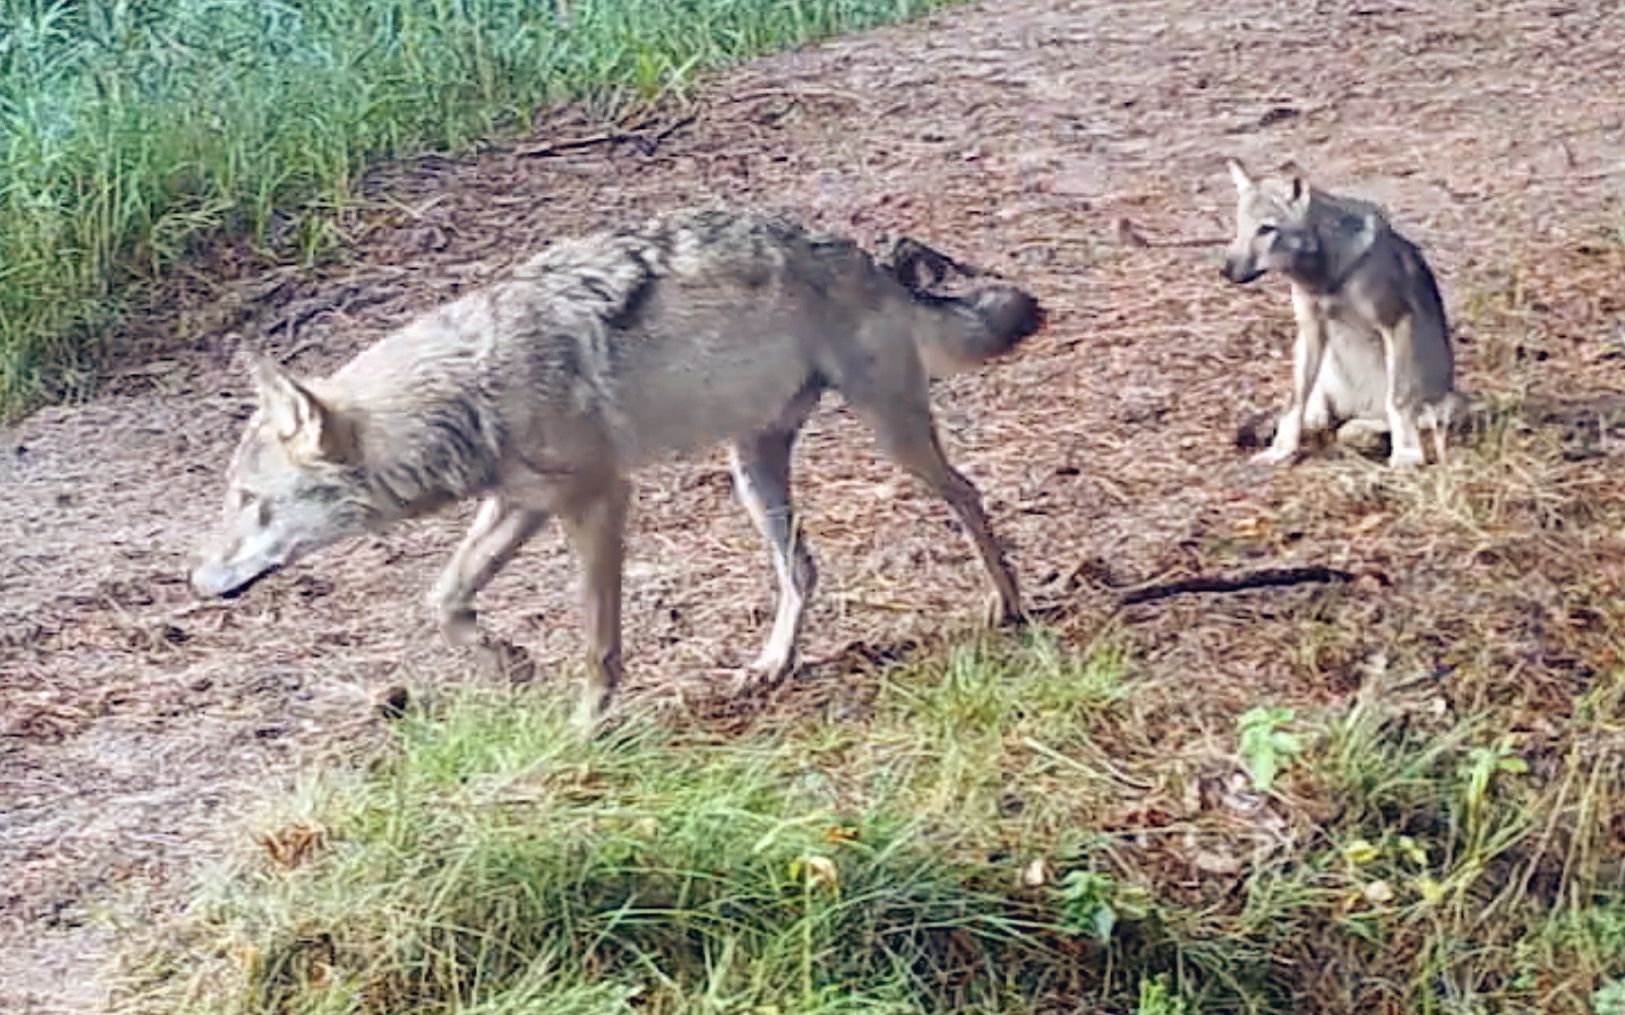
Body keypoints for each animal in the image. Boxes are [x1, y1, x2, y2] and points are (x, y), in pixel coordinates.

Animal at [190, 209, 1046, 724]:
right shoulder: (518, 504)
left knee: (967, 495)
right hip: (752, 473)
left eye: (247, 499)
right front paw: (513, 666)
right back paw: (771, 665)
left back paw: (1007, 606)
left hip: (891, 437)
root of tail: (866, 256)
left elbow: (598, 637)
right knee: (802, 568)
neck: (470, 386)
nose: (195, 581)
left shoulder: (599, 501)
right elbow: (443, 600)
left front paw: (587, 725)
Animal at [1222, 158, 1475, 467]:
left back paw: (1363, 432)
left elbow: (1399, 399)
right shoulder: (1311, 330)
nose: (1226, 270)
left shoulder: (1397, 322)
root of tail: (1358, 409)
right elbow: (1294, 402)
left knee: (1387, 418)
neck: (1325, 277)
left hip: (1447, 406)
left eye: (1266, 229)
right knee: (1319, 417)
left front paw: (1406, 454)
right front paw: (1280, 450)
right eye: (1239, 226)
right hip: (1310, 358)